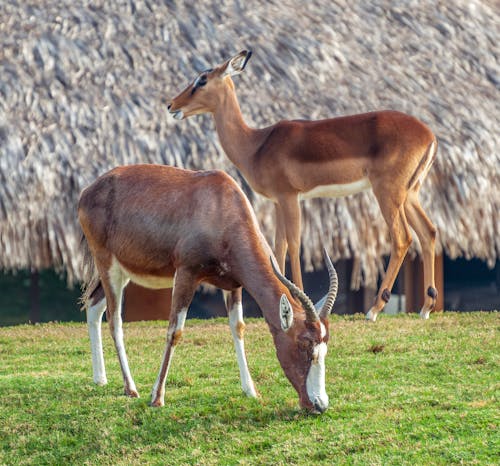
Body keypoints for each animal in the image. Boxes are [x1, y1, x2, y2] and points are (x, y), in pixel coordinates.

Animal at [78, 163, 338, 412]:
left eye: (325, 345)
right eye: (304, 344)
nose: (319, 405)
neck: (220, 203)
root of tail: (88, 191)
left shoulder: (234, 284)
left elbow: (238, 327)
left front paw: (251, 391)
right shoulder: (186, 274)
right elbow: (175, 331)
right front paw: (157, 398)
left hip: (123, 271)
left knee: (93, 305)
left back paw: (100, 379)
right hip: (108, 264)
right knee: (114, 321)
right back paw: (130, 388)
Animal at [168, 50, 438, 320]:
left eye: (202, 79)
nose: (171, 105)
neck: (256, 145)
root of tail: (430, 135)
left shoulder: (290, 197)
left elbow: (294, 245)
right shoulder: (277, 202)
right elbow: (278, 248)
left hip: (387, 192)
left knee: (402, 237)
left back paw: (373, 310)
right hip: (410, 194)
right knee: (428, 231)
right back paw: (425, 308)